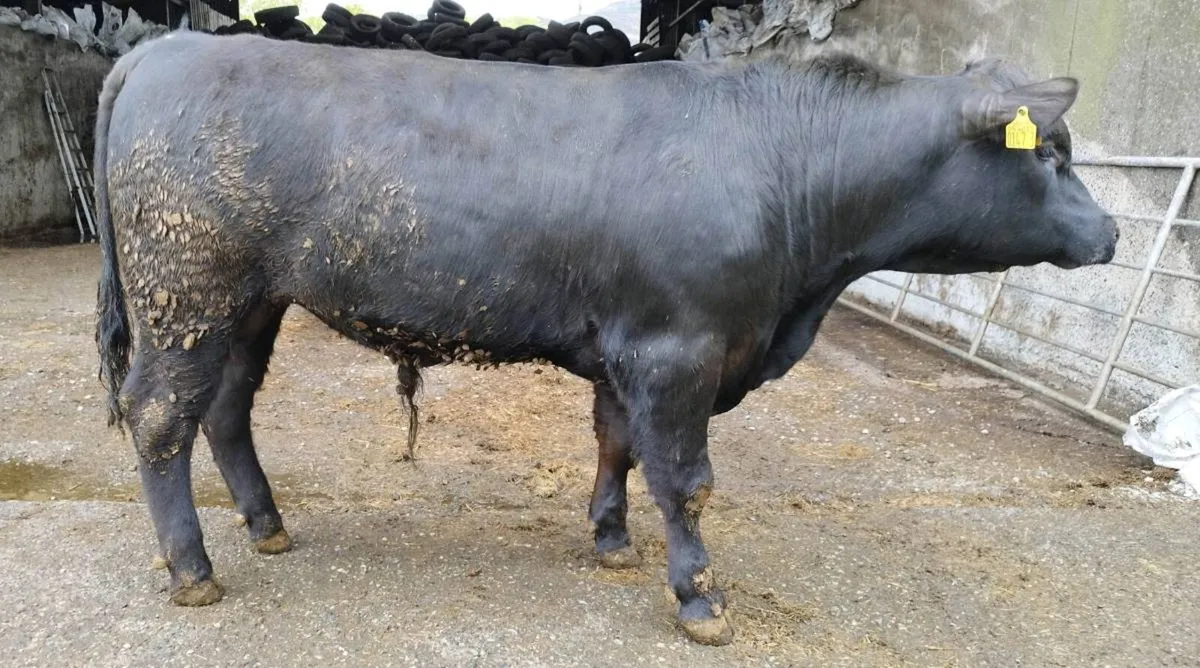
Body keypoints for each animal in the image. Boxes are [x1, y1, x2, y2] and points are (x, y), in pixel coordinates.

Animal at [94, 31, 1116, 646]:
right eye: (1051, 152)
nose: (1110, 233)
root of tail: (171, 46)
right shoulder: (679, 351)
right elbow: (689, 481)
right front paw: (699, 596)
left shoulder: (634, 351)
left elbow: (617, 445)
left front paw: (612, 538)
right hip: (186, 294)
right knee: (159, 417)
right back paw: (192, 568)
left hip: (250, 304)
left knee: (225, 408)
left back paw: (266, 524)